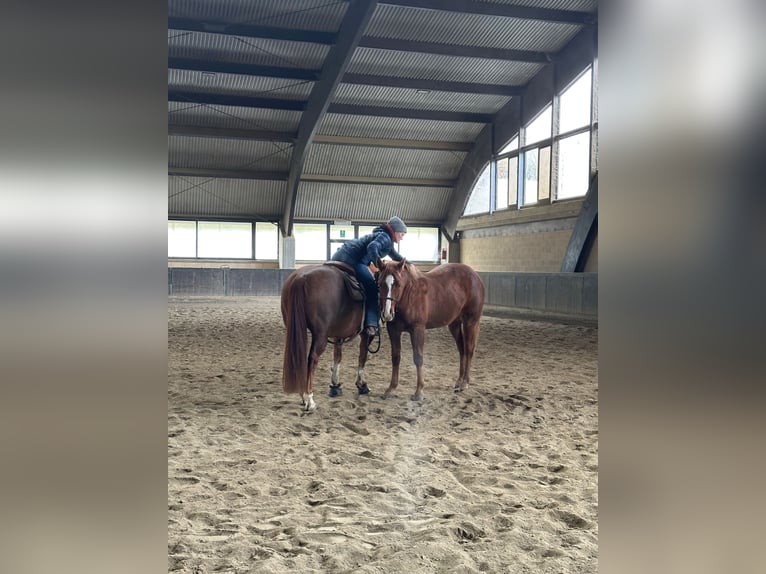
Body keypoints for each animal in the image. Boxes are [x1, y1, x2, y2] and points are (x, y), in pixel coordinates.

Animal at [280, 262, 375, 412]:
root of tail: (301, 278)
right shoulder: (365, 334)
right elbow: (362, 357)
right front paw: (362, 385)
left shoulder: (338, 336)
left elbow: (337, 357)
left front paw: (335, 386)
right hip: (321, 336)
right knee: (312, 359)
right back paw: (310, 399)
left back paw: (302, 397)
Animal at [375, 258, 485, 401]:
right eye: (380, 283)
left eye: (398, 284)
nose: (387, 313)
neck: (410, 295)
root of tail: (475, 276)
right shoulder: (393, 330)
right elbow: (395, 357)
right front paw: (391, 388)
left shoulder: (418, 329)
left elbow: (418, 358)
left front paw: (419, 391)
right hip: (454, 324)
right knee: (462, 350)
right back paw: (459, 381)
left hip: (470, 322)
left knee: (469, 350)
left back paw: (464, 383)